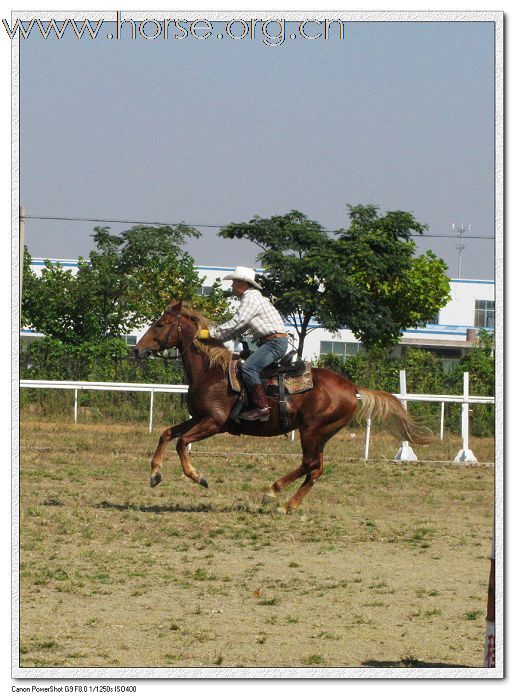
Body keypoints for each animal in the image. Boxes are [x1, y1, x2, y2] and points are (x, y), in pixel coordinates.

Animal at [135, 298, 434, 512]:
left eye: (160, 324)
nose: (137, 349)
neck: (212, 372)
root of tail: (352, 388)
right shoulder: (197, 418)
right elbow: (167, 434)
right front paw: (154, 475)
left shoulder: (214, 422)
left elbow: (181, 442)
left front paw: (198, 477)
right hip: (323, 434)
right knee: (316, 468)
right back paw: (290, 504)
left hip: (311, 430)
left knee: (309, 463)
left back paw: (272, 491)